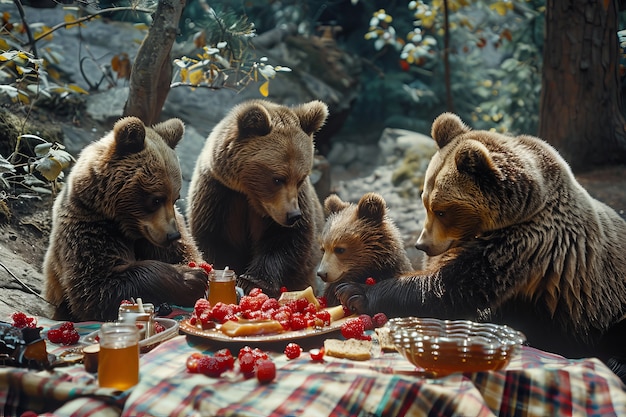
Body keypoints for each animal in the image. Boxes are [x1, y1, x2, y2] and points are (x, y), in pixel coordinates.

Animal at [45, 117, 210, 322]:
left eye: (176, 197)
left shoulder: (155, 234)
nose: (173, 235)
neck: (126, 224)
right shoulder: (90, 228)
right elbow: (98, 284)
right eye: (156, 199)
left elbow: (185, 252)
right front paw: (191, 277)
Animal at [185, 99, 326, 298]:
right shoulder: (220, 195)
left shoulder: (295, 204)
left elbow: (286, 241)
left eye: (300, 178)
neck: (251, 196)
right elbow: (215, 240)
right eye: (278, 179)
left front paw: (253, 281)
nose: (293, 216)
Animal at [336, 112, 624, 362]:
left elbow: (453, 286)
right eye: (425, 202)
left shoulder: (526, 243)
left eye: (442, 210)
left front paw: (354, 292)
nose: (422, 245)